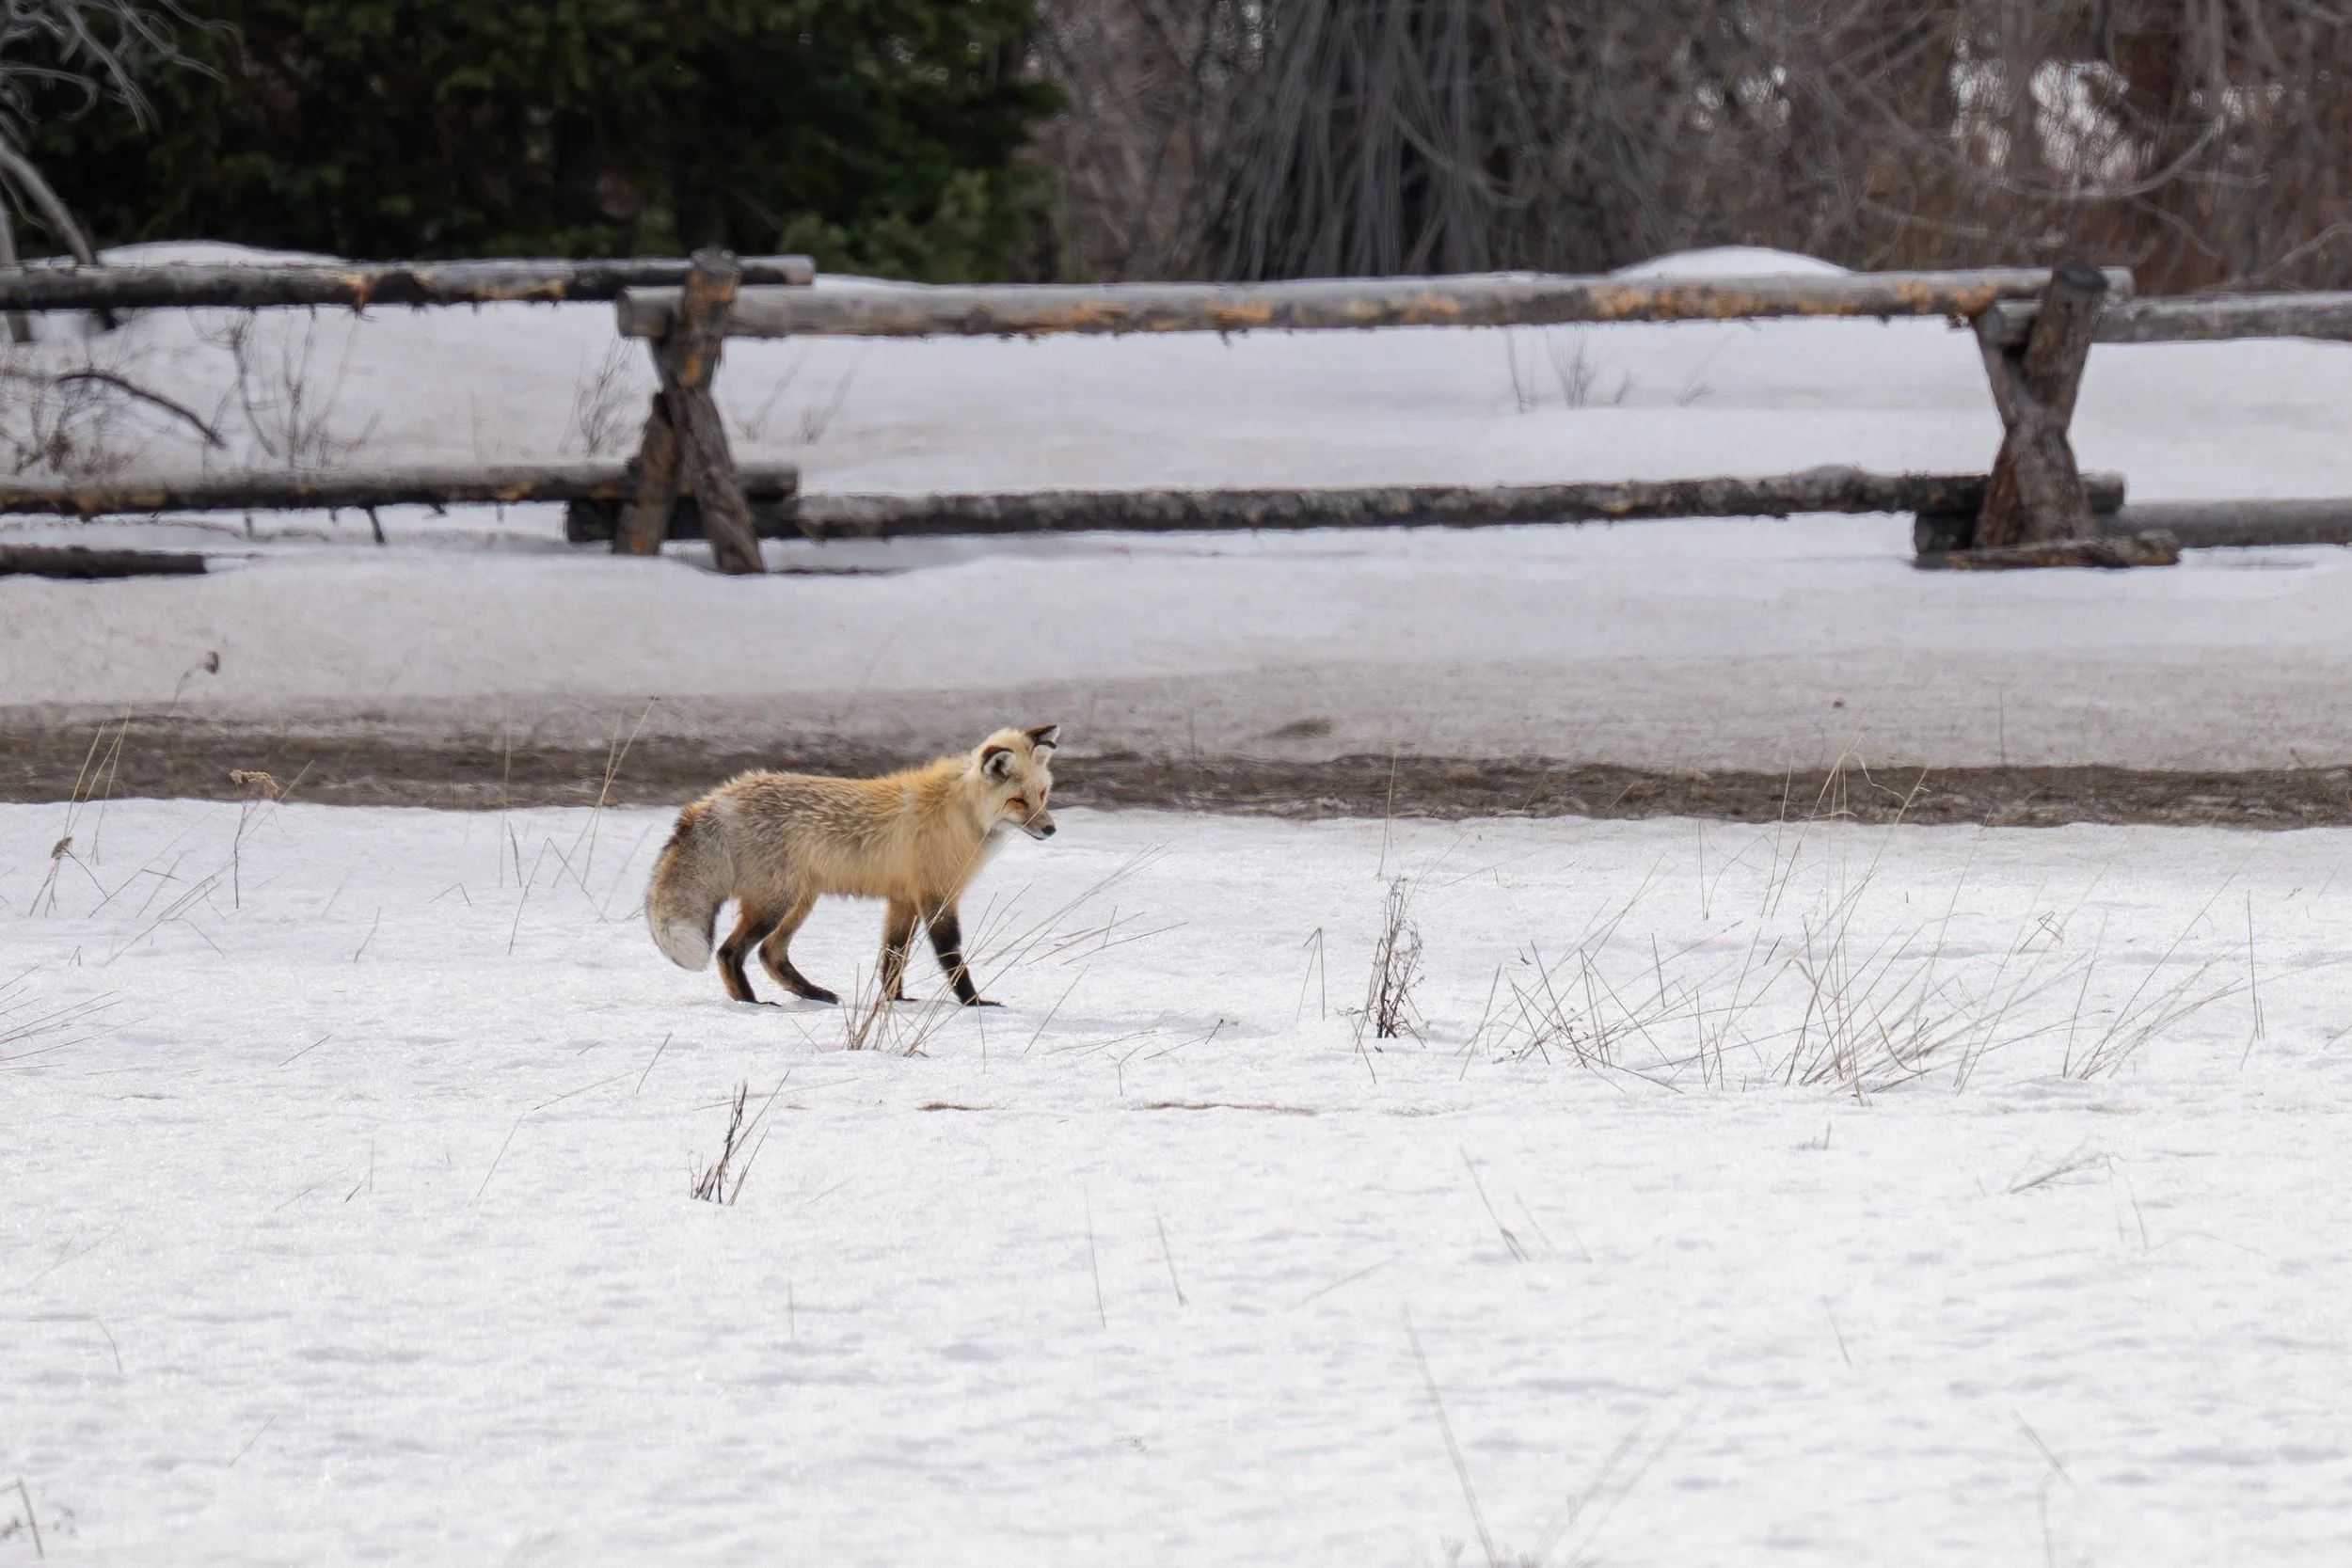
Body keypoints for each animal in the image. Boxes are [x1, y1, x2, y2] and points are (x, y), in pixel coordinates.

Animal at [646, 724, 1060, 1008]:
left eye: (1042, 794)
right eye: (1018, 801)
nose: (1051, 830)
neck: (962, 812)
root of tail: (717, 798)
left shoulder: (903, 900)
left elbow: (892, 957)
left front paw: (896, 1002)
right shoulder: (936, 896)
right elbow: (952, 957)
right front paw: (974, 1003)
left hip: (798, 903)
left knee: (770, 954)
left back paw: (812, 993)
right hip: (775, 904)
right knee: (730, 952)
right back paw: (751, 1003)